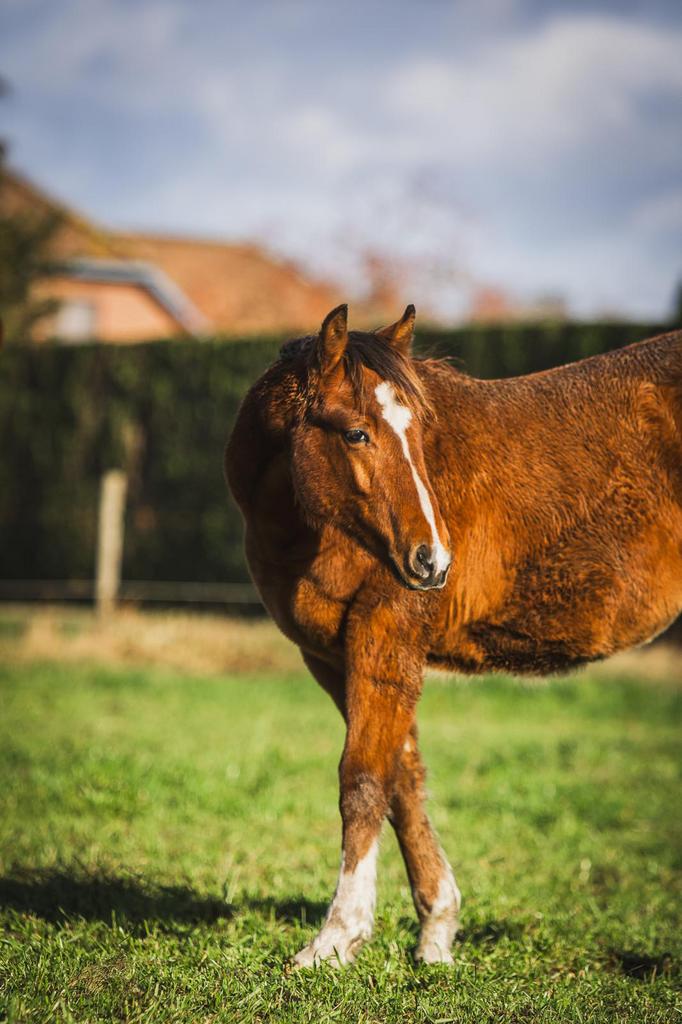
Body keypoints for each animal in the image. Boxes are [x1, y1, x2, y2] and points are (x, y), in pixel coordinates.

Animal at [224, 304, 682, 967]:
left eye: (419, 433)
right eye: (356, 433)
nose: (434, 561)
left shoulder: (384, 639)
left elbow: (363, 780)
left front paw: (335, 940)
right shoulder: (333, 658)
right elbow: (402, 781)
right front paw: (436, 932)